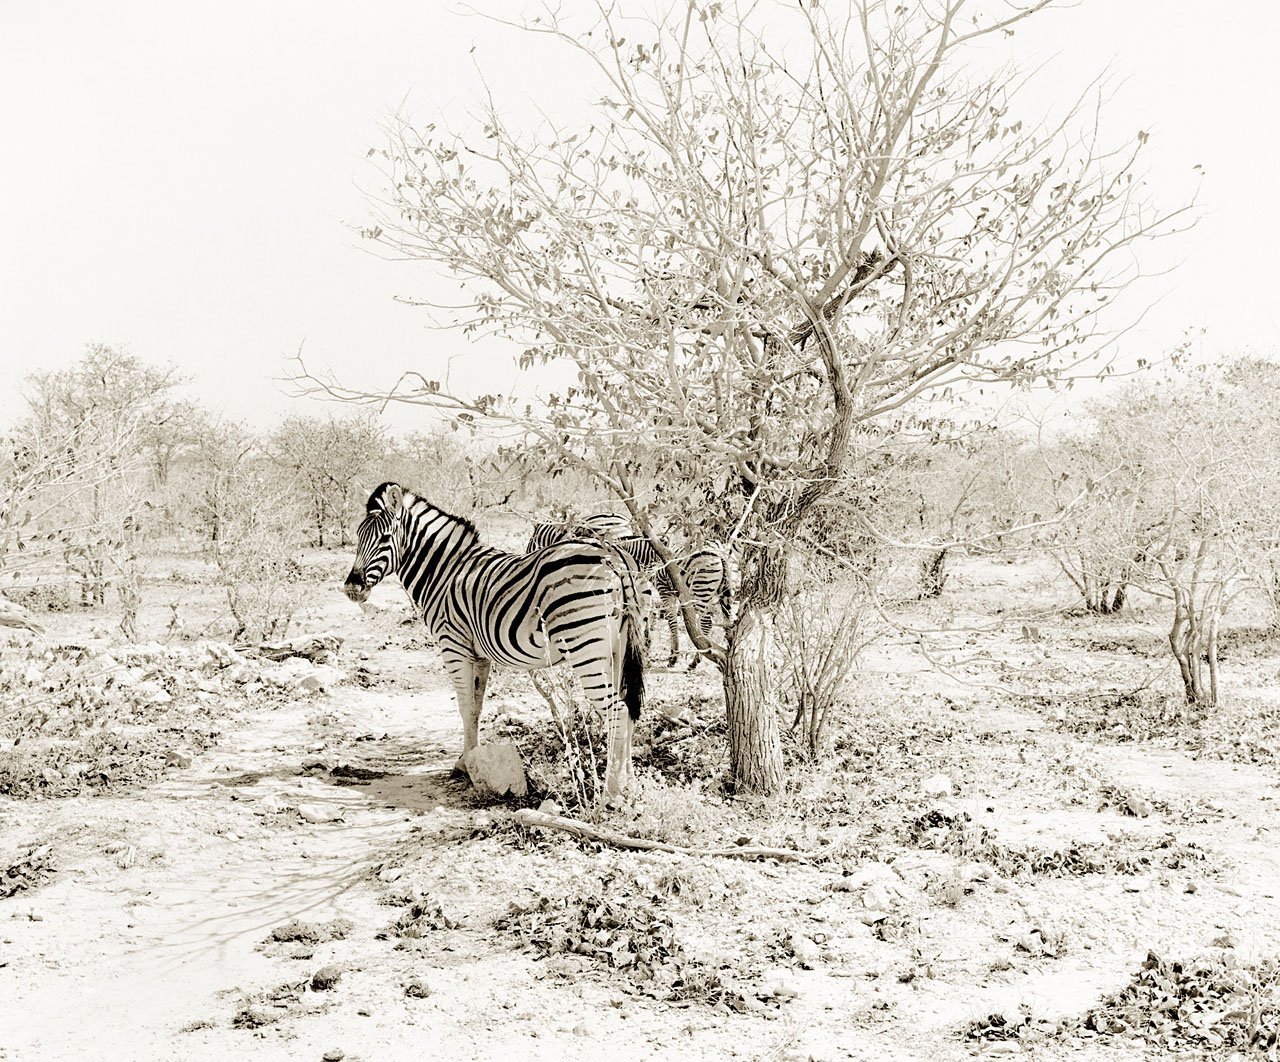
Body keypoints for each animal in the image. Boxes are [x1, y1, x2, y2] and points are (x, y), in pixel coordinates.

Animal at [344, 483, 645, 802]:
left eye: (385, 538)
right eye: (358, 536)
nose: (351, 588)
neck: (443, 573)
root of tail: (614, 555)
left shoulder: (453, 646)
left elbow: (464, 706)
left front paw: (464, 764)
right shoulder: (480, 654)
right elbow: (476, 707)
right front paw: (469, 760)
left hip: (584, 646)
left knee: (616, 711)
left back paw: (610, 793)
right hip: (618, 649)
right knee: (628, 709)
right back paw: (630, 785)